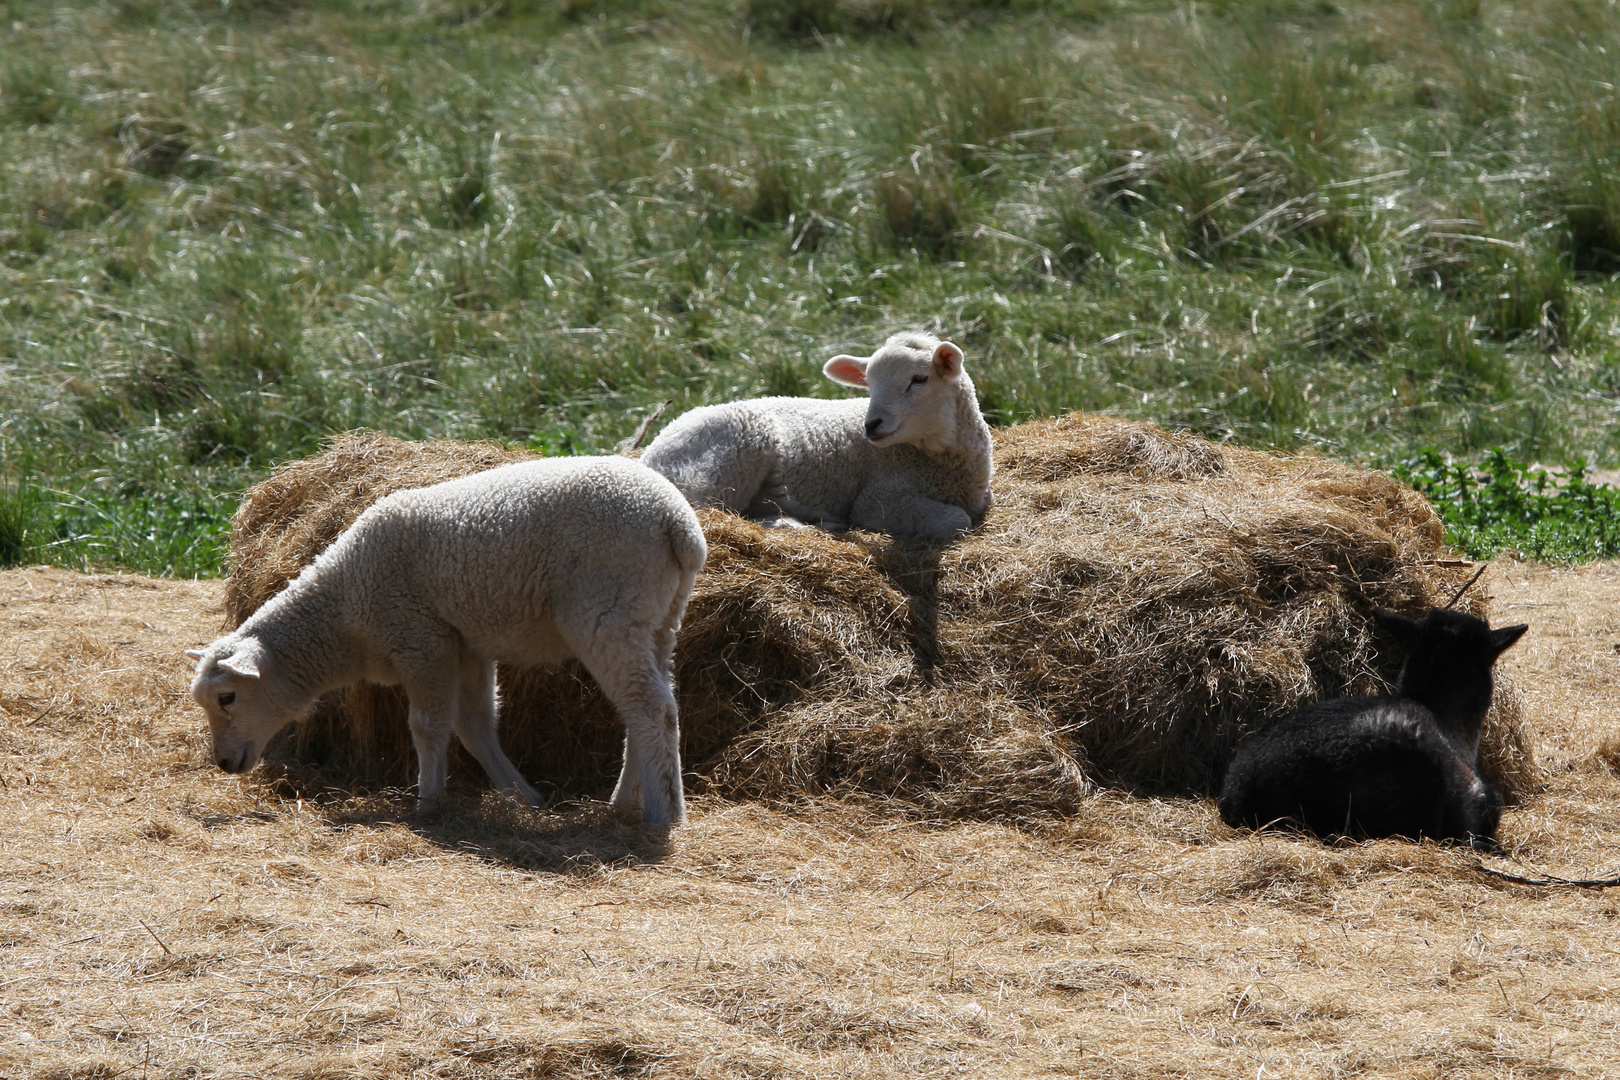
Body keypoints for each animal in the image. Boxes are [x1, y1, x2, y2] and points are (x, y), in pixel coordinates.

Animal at [185, 456, 703, 829]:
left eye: (227, 697)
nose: (224, 763)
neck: (344, 609)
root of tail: (678, 524)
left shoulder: (421, 640)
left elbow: (429, 726)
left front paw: (429, 800)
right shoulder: (466, 645)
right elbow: (475, 726)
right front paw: (521, 796)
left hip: (607, 609)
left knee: (648, 707)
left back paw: (661, 814)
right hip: (659, 619)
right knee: (656, 706)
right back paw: (631, 803)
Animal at [638, 331, 991, 537]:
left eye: (919, 379)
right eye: (869, 382)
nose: (871, 425)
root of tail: (650, 452)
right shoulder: (878, 498)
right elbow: (958, 520)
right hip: (726, 456)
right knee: (704, 509)